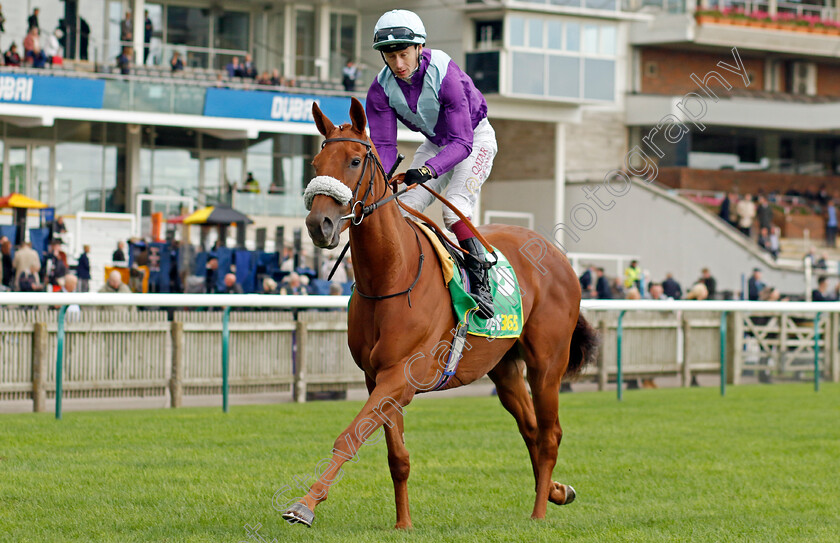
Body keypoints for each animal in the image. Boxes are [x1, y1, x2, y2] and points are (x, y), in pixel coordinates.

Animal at [286, 98, 600, 532]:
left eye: (353, 161)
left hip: (546, 363)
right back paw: (555, 490)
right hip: (504, 367)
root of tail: (557, 255)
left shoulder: (400, 374)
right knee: (532, 430)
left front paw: (305, 505)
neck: (392, 274)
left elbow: (348, 437)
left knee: (550, 434)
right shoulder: (376, 378)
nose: (320, 225)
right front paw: (403, 524)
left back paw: (539, 512)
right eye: (315, 164)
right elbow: (397, 457)